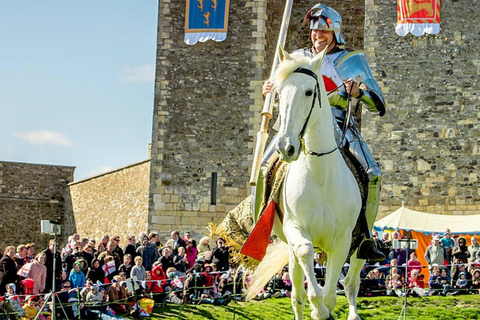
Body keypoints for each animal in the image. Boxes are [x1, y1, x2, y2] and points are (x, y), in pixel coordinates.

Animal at [249, 45, 366, 320]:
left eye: (309, 91)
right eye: (279, 93)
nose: (286, 147)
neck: (320, 173)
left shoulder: (343, 240)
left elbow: (332, 295)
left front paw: (324, 306)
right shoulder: (297, 231)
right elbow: (305, 256)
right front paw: (317, 307)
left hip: (359, 247)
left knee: (351, 283)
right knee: (297, 295)